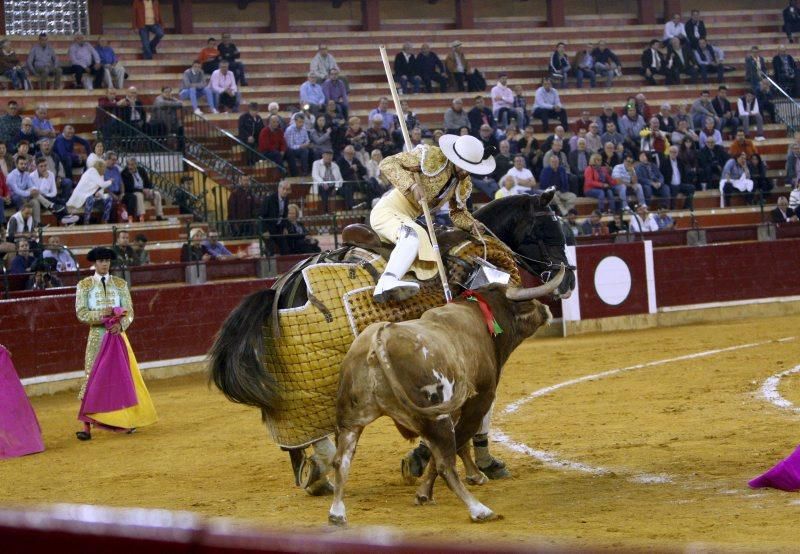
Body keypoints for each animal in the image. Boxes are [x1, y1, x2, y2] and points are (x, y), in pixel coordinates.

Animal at [326, 270, 564, 524]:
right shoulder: (479, 400)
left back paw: (337, 513)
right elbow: (460, 441)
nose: (546, 309)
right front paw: (426, 493)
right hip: (436, 418)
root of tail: (378, 341)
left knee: (342, 460)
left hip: (351, 420)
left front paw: (475, 475)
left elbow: (459, 445)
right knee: (445, 464)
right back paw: (479, 509)